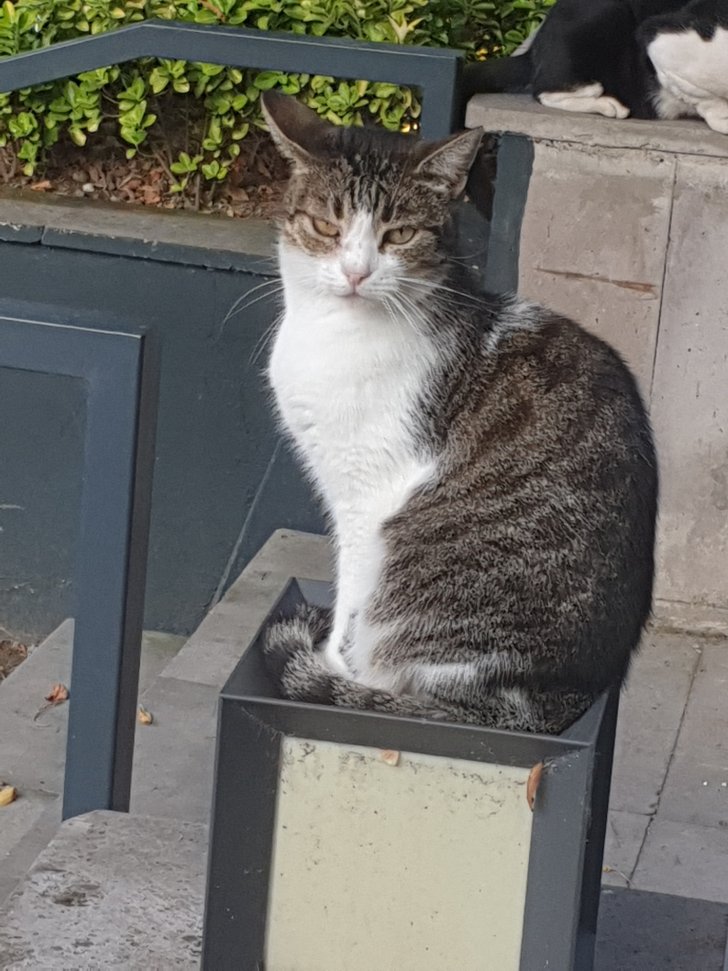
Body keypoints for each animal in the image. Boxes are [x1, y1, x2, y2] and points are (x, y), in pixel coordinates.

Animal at [260, 91, 658, 734]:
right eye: (326, 226)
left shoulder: (366, 492)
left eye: (399, 235)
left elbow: (349, 592)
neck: (331, 332)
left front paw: (330, 663)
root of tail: (556, 699)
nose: (356, 271)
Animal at [461, 0, 728, 135]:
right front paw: (722, 116)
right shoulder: (662, 39)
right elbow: (704, 93)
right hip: (605, 16)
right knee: (547, 90)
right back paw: (608, 105)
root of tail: (536, 47)